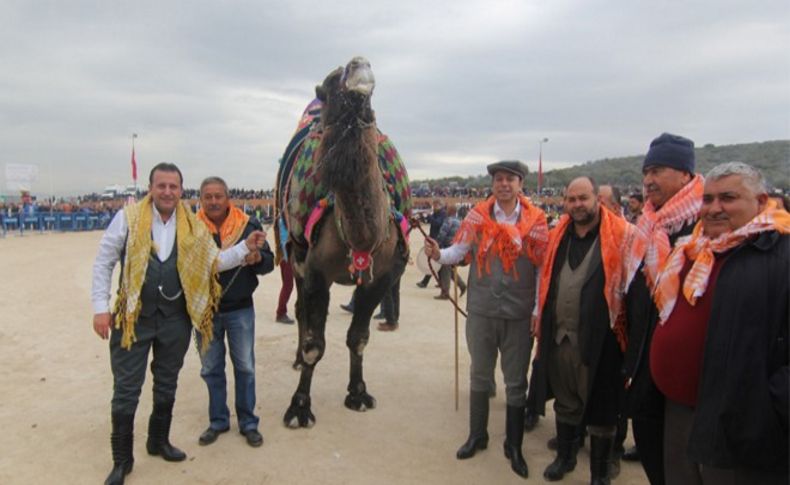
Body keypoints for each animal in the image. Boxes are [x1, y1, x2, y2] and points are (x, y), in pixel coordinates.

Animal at [276, 57, 414, 428]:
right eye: (330, 81)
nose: (359, 64)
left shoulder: (382, 276)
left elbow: (359, 338)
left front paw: (358, 393)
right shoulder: (315, 273)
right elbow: (315, 344)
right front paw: (299, 407)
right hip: (293, 255)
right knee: (299, 309)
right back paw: (296, 359)